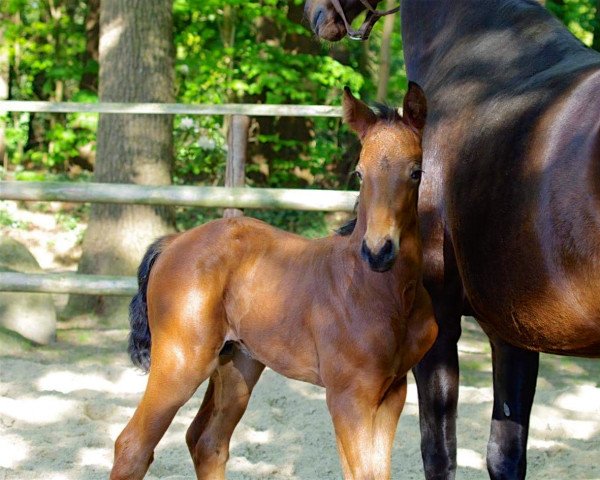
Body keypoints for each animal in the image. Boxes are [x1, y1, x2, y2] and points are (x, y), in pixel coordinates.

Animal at [110, 83, 436, 480]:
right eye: (359, 174)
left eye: (416, 172)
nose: (378, 251)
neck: (382, 292)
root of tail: (173, 243)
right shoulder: (348, 396)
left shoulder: (392, 391)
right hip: (180, 362)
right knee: (133, 447)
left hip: (237, 364)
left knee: (207, 442)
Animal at [304, 0, 600, 480]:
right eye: (361, 174)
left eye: (416, 173)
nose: (314, 15)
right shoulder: (515, 329)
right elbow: (504, 454)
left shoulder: (438, 321)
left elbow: (439, 453)